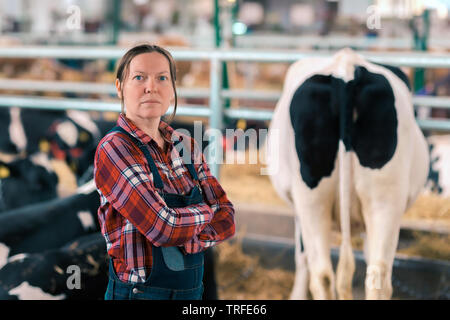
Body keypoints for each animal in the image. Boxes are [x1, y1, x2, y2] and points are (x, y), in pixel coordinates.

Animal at [268, 48, 428, 300]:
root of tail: (347, 69)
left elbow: (301, 255)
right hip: (384, 200)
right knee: (375, 273)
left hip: (311, 200)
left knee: (322, 274)